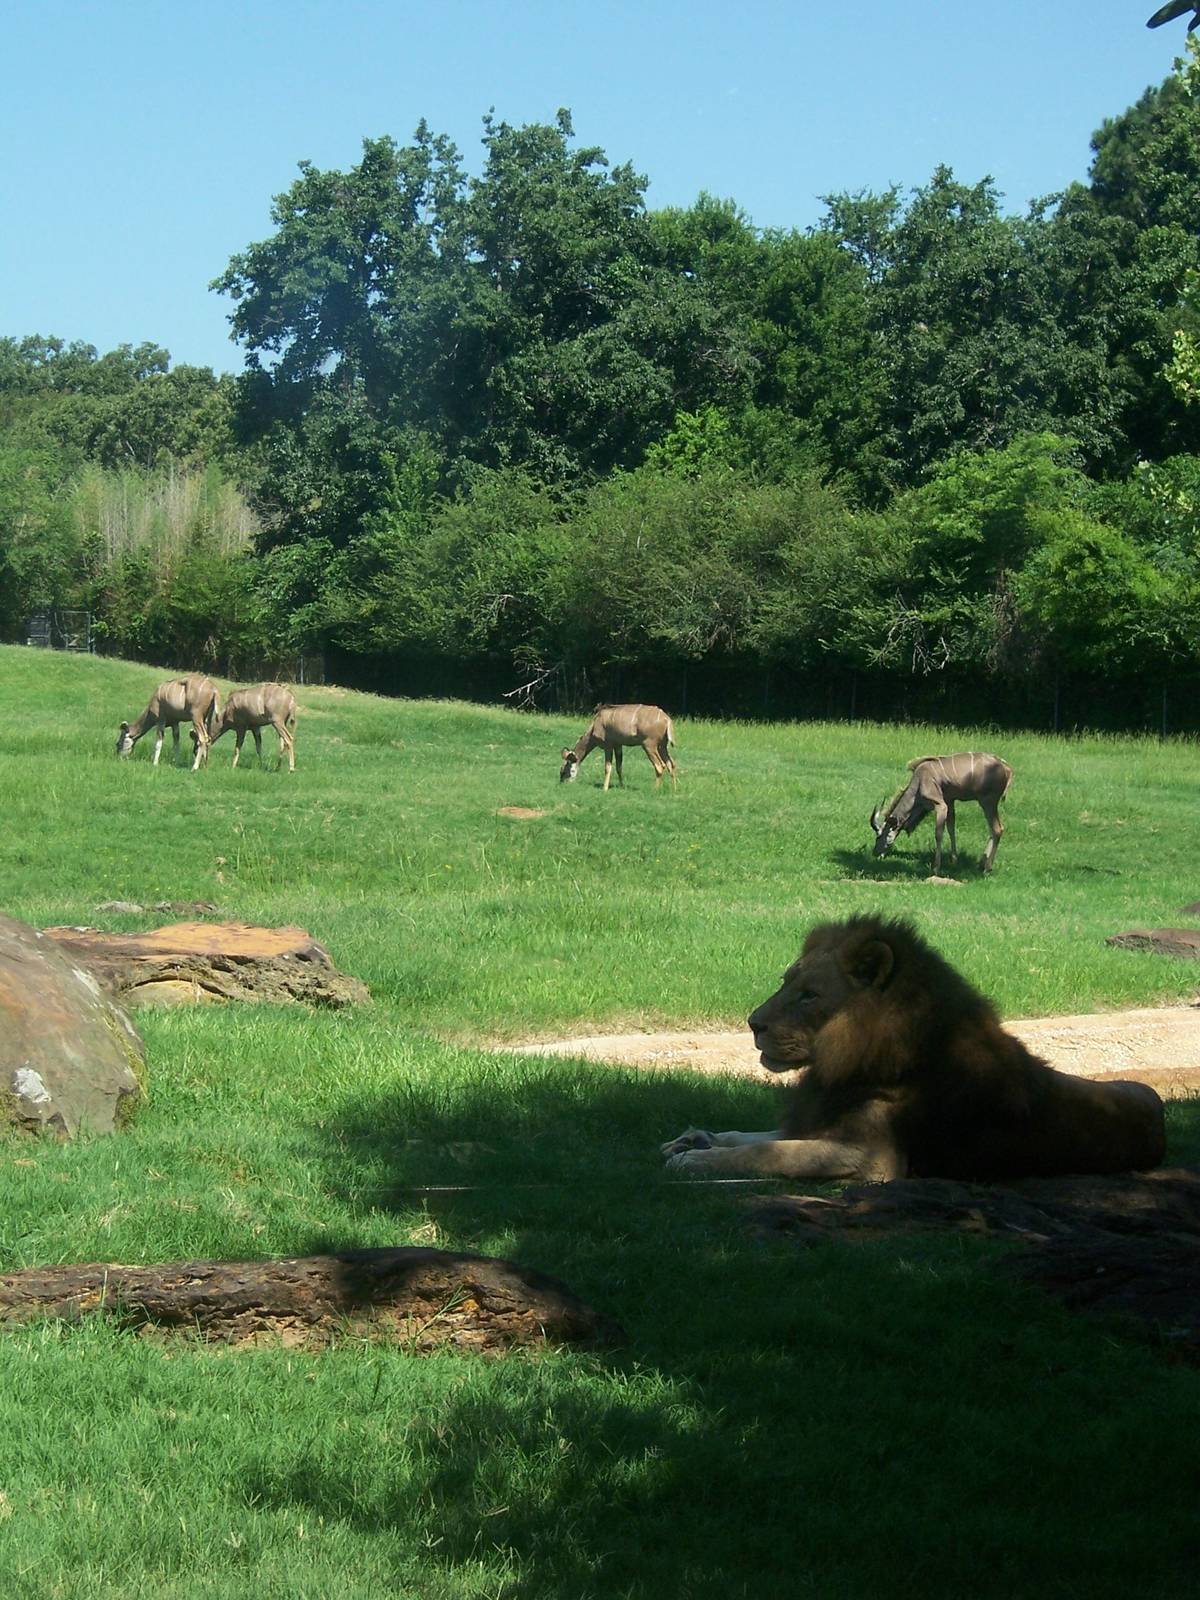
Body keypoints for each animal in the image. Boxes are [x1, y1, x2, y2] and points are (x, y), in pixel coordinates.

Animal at [661, 916, 1166, 1182]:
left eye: (809, 996)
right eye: (786, 982)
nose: (753, 1024)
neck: (844, 1064)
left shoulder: (872, 1161)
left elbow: (770, 1154)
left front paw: (696, 1159)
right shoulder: (816, 1120)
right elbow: (752, 1136)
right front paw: (695, 1137)